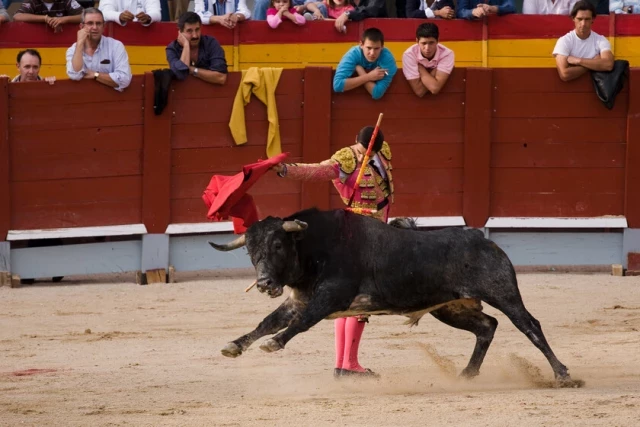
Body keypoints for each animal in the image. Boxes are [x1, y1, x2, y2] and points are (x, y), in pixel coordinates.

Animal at [212, 208, 584, 388]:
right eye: (250, 251)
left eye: (277, 245)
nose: (264, 283)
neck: (314, 249)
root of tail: (484, 240)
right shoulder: (298, 299)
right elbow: (268, 321)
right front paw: (235, 345)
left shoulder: (330, 297)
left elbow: (301, 324)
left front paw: (274, 344)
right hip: (450, 308)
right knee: (487, 326)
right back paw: (466, 373)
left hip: (502, 292)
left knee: (530, 325)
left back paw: (563, 376)